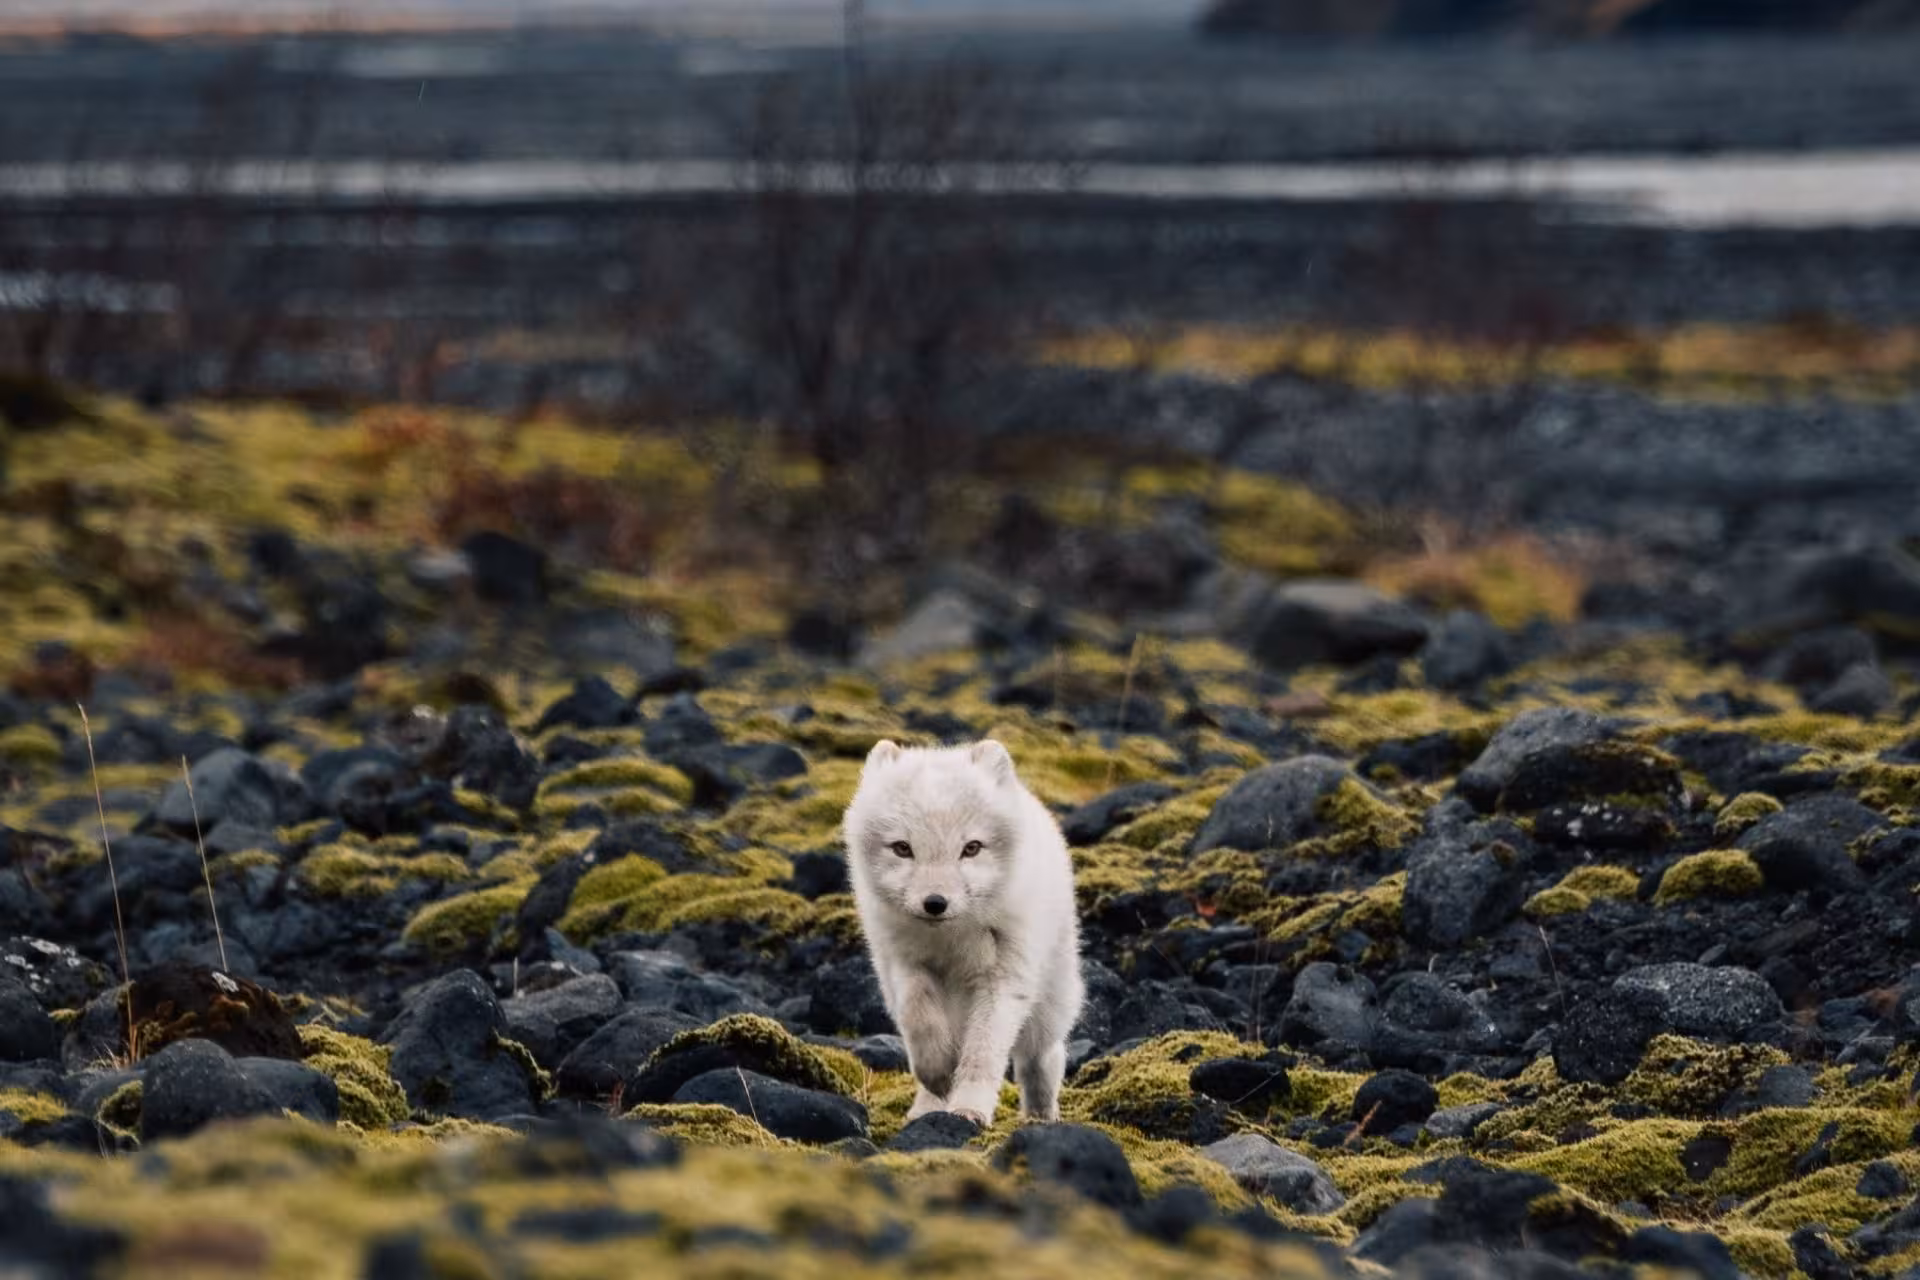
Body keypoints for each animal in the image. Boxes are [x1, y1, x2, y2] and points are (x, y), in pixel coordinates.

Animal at [842, 738, 1084, 1126]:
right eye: (902, 848)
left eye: (971, 848)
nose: (935, 903)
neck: (952, 942)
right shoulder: (903, 964)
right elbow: (919, 1017)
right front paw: (938, 1075)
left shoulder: (1004, 978)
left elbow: (983, 1051)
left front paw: (970, 1109)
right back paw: (926, 1107)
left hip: (1048, 1006)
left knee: (1042, 1057)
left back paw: (1041, 1116)